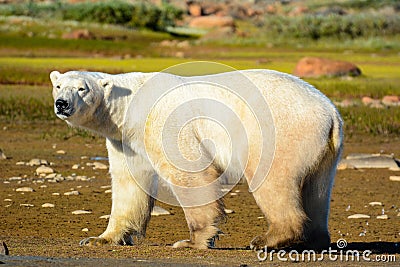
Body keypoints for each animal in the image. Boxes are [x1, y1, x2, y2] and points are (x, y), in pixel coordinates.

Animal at [50, 68, 342, 251]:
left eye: (82, 88)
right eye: (58, 85)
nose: (62, 103)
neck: (129, 105)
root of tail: (330, 112)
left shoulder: (164, 122)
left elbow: (188, 172)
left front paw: (193, 241)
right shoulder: (125, 141)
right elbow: (128, 184)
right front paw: (99, 238)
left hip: (279, 133)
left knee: (272, 179)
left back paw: (267, 239)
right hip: (323, 152)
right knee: (317, 191)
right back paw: (314, 240)